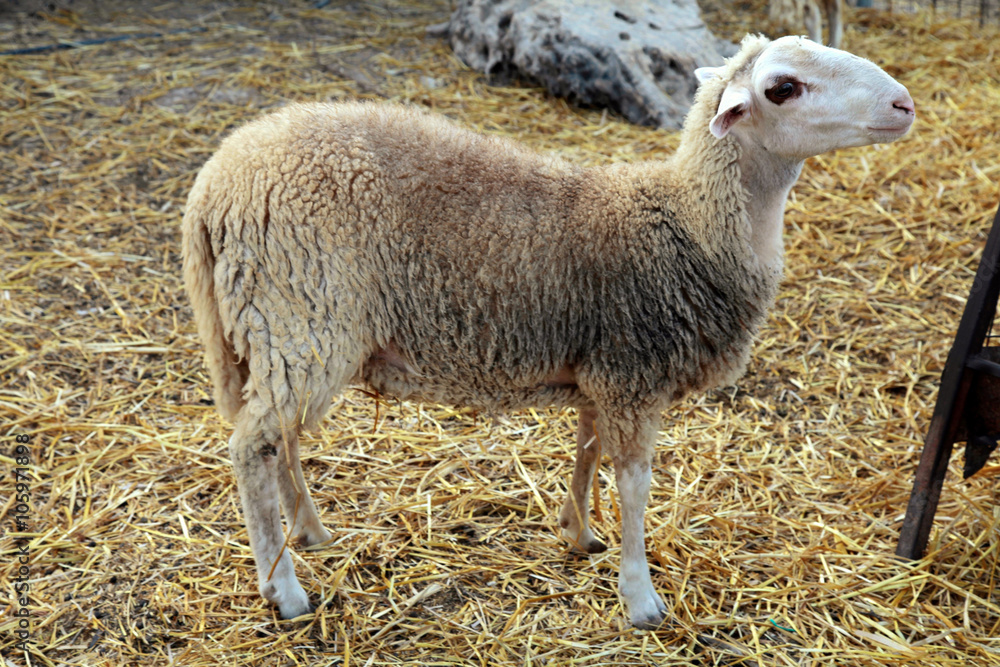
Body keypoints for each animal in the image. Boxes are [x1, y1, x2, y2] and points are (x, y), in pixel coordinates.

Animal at [181, 34, 914, 629]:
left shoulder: (603, 367)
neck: (688, 224)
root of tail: (214, 185)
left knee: (279, 439)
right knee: (251, 448)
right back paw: (284, 588)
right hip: (301, 313)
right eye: (782, 88)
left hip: (288, 331)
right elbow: (635, 485)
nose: (904, 104)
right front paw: (639, 596)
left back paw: (308, 531)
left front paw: (579, 533)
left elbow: (587, 450)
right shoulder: (633, 372)